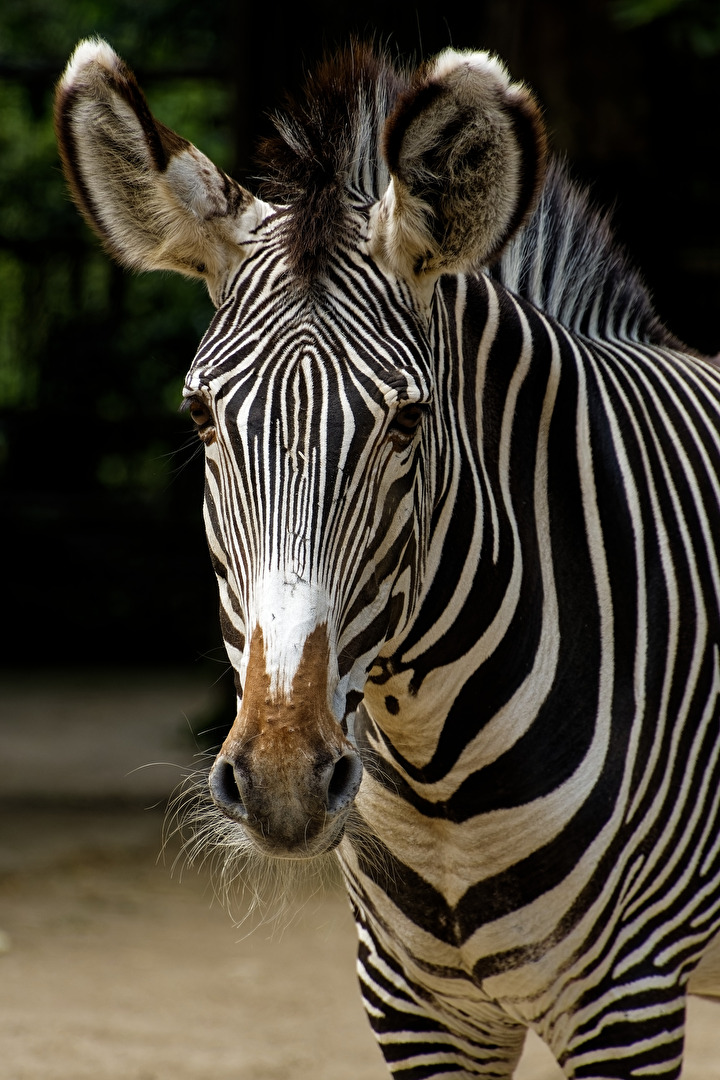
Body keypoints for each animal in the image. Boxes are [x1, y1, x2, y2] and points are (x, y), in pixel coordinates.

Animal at [55, 37, 720, 1079]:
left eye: (407, 422)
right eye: (200, 418)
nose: (283, 785)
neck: (440, 778)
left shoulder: (631, 996)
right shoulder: (415, 1003)